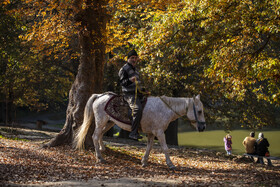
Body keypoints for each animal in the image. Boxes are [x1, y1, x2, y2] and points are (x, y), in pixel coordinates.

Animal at [74, 93, 206, 169]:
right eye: (199, 111)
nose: (203, 128)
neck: (165, 109)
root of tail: (100, 96)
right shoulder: (159, 132)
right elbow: (165, 148)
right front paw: (170, 164)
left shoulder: (152, 133)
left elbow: (149, 147)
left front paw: (144, 161)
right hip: (101, 121)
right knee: (95, 136)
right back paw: (100, 157)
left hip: (109, 123)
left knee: (100, 135)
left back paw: (102, 149)